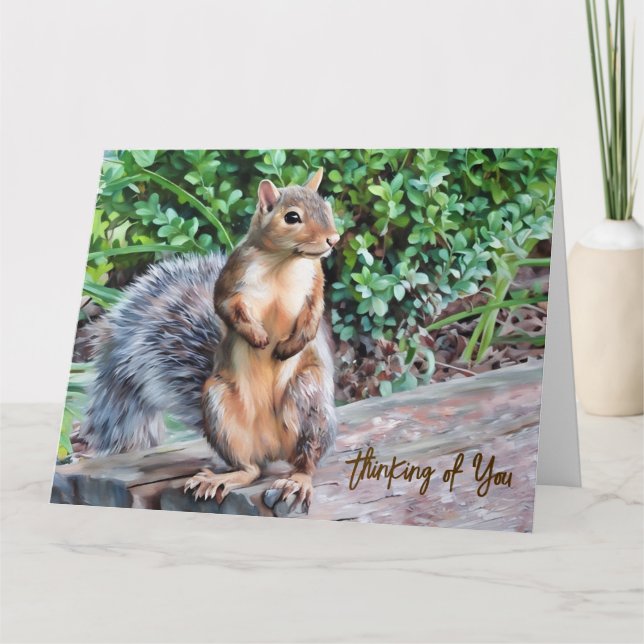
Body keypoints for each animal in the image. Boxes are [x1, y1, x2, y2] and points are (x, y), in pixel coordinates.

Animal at [80, 168, 339, 511]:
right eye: (292, 217)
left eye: (327, 208)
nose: (333, 239)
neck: (283, 263)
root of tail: (273, 450)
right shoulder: (232, 279)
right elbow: (226, 308)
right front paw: (257, 336)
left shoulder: (315, 284)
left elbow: (313, 316)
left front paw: (289, 346)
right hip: (220, 408)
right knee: (251, 469)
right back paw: (223, 478)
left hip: (308, 402)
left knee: (306, 460)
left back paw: (297, 481)